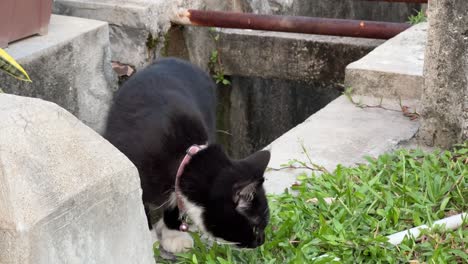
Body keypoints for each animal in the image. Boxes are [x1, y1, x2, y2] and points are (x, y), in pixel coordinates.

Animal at [103, 58, 268, 254]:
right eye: (255, 227)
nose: (262, 241)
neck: (182, 156)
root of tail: (174, 59)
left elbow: (175, 202)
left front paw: (174, 235)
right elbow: (141, 205)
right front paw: (148, 239)